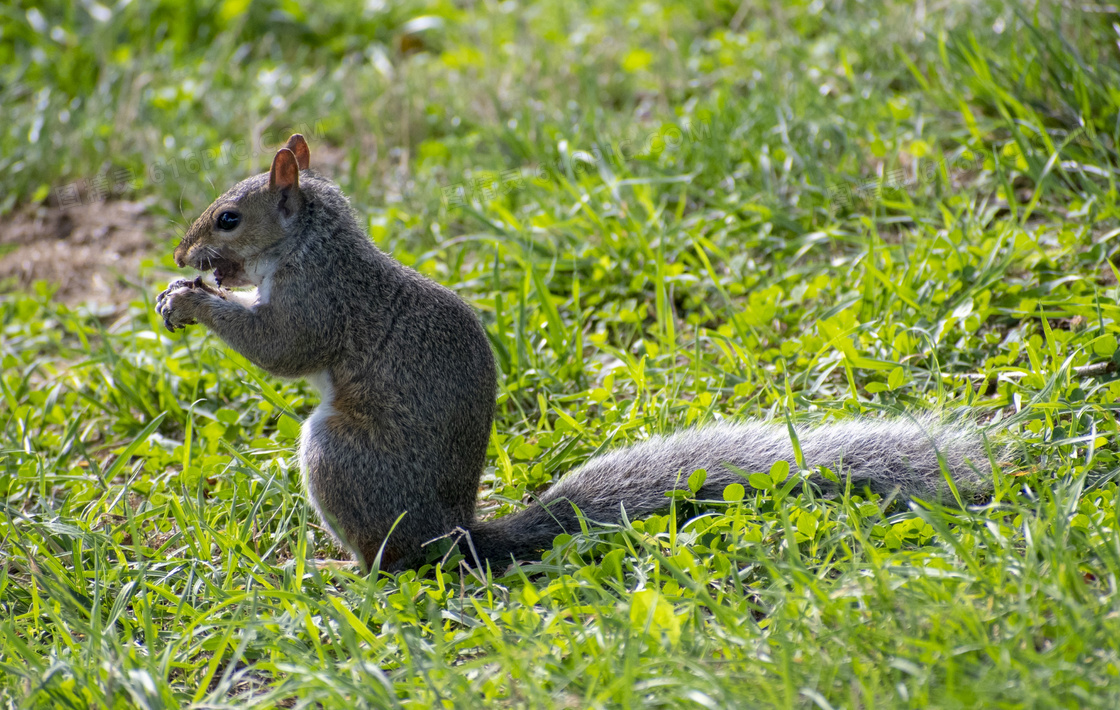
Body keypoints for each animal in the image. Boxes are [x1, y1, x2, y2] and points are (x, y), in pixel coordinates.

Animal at [155, 135, 990, 573]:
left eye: (228, 219)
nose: (185, 254)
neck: (311, 243)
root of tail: (451, 535)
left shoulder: (321, 302)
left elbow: (280, 349)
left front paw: (189, 300)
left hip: (337, 457)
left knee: (385, 558)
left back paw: (346, 569)